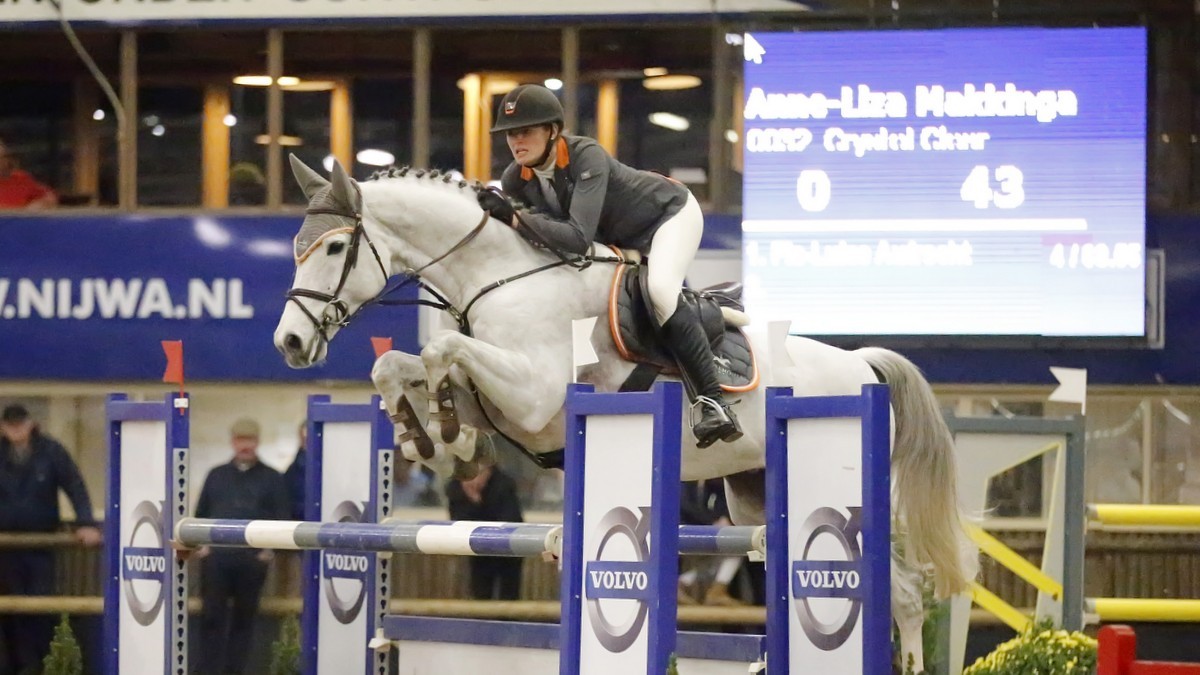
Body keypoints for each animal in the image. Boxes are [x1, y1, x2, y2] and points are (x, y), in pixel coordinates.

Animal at [276, 156, 979, 667]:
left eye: (334, 249)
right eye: (296, 247)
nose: (289, 343)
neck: (499, 278)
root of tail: (861, 364)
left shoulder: (536, 394)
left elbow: (441, 349)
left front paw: (445, 435)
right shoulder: (506, 401)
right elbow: (400, 366)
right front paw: (434, 437)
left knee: (905, 595)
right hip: (754, 499)